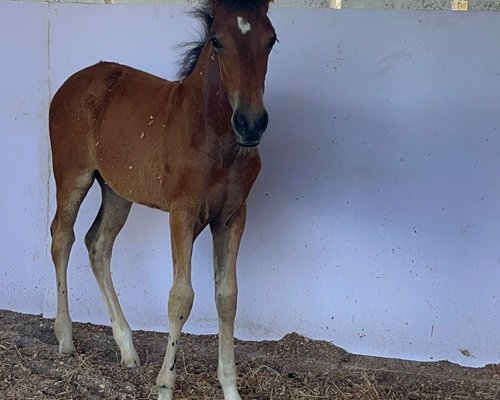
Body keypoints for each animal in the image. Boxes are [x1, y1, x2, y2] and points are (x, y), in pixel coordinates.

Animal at [48, 0, 276, 400]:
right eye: (217, 41)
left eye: (271, 40)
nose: (251, 123)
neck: (216, 138)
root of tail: (70, 84)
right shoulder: (182, 213)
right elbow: (181, 298)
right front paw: (166, 385)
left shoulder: (233, 216)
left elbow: (227, 297)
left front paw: (230, 388)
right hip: (73, 176)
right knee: (62, 237)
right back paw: (65, 337)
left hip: (117, 191)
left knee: (98, 244)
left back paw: (127, 347)